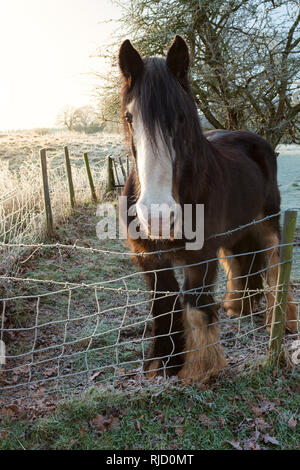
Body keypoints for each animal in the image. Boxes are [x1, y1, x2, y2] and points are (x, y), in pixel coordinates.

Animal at [118, 35, 298, 382]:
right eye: (129, 117)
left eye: (181, 116)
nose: (157, 216)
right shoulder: (149, 258)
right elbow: (164, 307)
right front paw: (162, 366)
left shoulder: (199, 256)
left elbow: (196, 306)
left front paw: (200, 369)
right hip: (236, 233)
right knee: (239, 263)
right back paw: (237, 307)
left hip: (267, 223)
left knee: (273, 264)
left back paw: (283, 321)